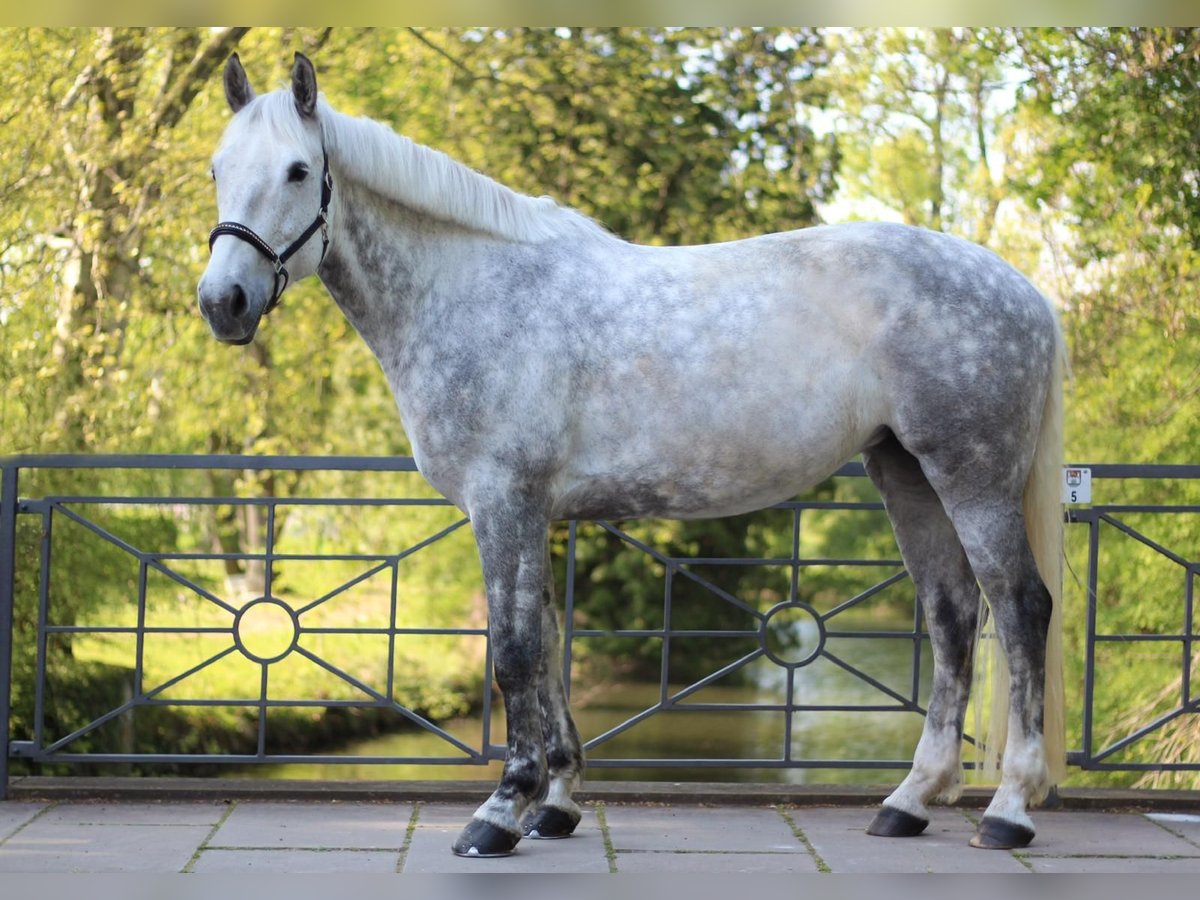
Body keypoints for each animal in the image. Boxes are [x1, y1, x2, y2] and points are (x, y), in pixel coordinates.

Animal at [198, 53, 1066, 857]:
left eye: (298, 170)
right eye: (216, 168)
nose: (222, 303)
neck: (477, 289)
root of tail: (1025, 289)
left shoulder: (501, 500)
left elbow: (513, 651)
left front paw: (499, 813)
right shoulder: (536, 511)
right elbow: (548, 643)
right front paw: (554, 803)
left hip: (973, 479)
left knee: (1020, 607)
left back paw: (1008, 810)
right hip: (905, 473)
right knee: (952, 613)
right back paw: (909, 801)